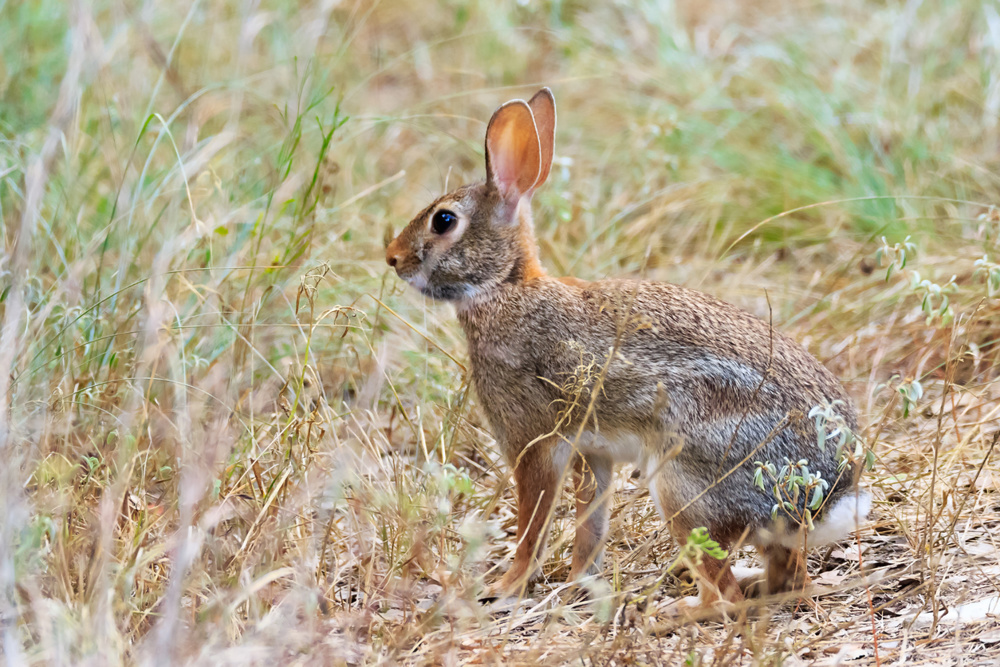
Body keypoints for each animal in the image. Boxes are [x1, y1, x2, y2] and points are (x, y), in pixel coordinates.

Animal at [385, 88, 871, 621]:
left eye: (444, 220)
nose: (392, 258)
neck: (505, 286)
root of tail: (824, 492)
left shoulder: (532, 441)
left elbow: (533, 523)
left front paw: (504, 589)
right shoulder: (592, 454)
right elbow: (589, 525)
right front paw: (579, 585)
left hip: (684, 485)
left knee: (726, 596)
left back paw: (675, 612)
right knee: (788, 579)